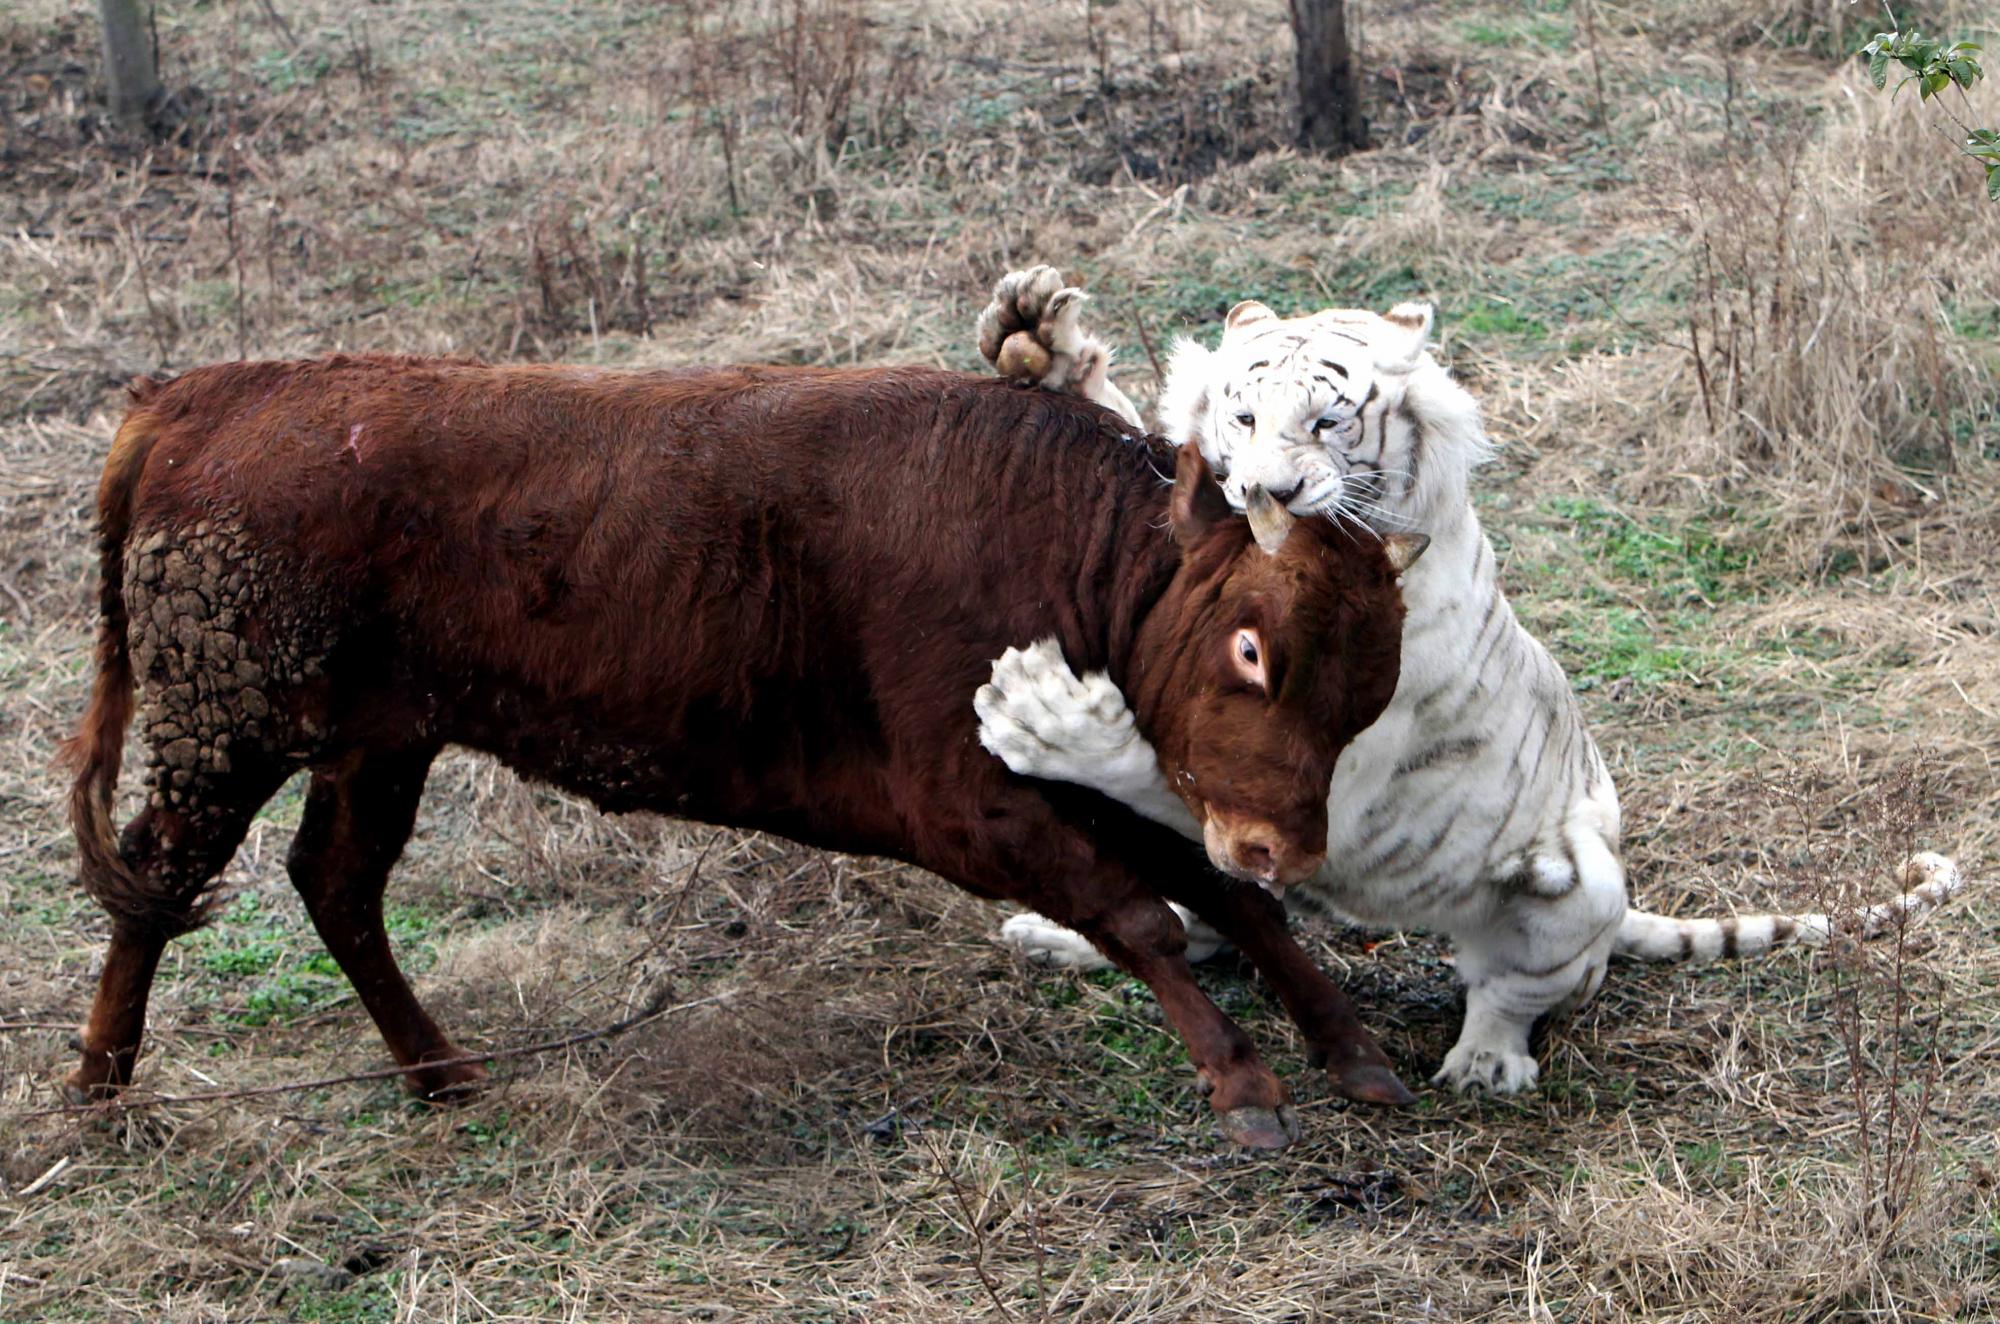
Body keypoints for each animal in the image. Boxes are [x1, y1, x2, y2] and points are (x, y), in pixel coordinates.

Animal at [62, 358, 1416, 1144]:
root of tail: (198, 395)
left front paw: (1347, 1048)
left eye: (1369, 689)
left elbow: (1220, 902)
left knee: (335, 882)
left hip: (378, 738)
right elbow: (1140, 916)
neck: (1055, 539)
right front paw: (1242, 1081)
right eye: (1250, 648)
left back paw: (439, 1071)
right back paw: (99, 1088)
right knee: (159, 876)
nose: (1283, 842)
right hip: (223, 725)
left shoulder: (1102, 782)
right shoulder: (961, 804)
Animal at [968, 264, 1968, 1096]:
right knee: (1209, 914)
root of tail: (1626, 906)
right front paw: (1036, 330)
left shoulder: (1335, 770)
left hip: (1576, 886)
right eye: (1243, 419)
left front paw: (1040, 715)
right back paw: (1052, 938)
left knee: (1514, 989)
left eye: (1326, 422)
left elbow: (1163, 757)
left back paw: (1487, 1063)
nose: (1263, 495)